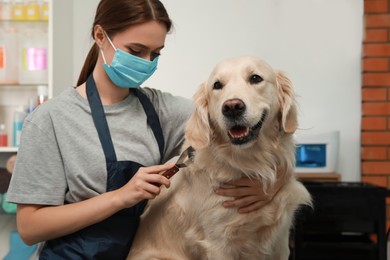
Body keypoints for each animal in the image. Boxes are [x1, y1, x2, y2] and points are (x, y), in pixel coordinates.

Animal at [127, 56, 310, 260]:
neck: (250, 163)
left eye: (255, 78)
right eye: (217, 85)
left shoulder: (279, 244)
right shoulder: (218, 243)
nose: (232, 107)